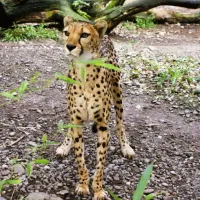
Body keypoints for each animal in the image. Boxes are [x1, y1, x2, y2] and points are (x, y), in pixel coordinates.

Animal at [56, 16, 134, 200]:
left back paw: (126, 147)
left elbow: (100, 165)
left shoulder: (103, 126)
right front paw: (83, 185)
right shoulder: (77, 121)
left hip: (117, 90)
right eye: (66, 33)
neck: (84, 70)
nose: (69, 46)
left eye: (84, 34)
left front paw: (98, 189)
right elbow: (80, 158)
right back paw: (64, 146)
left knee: (120, 122)